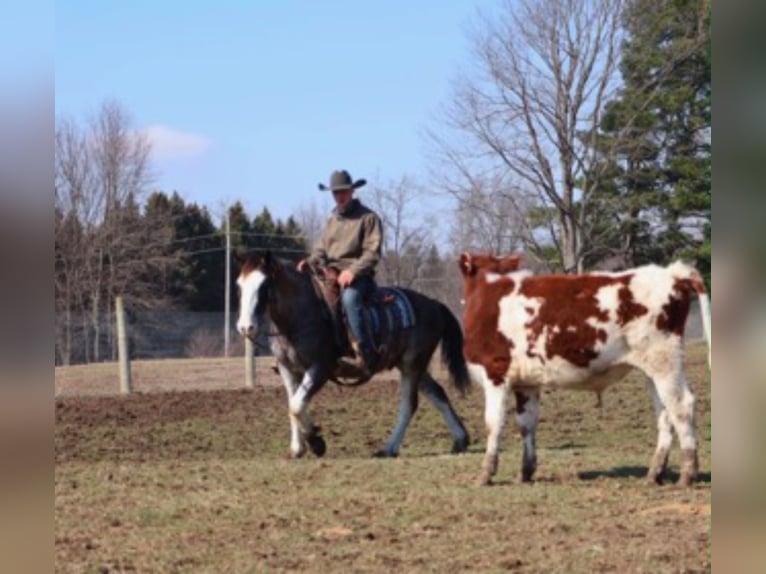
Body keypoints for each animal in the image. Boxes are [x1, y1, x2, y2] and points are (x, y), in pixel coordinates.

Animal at [235, 250, 471, 459]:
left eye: (264, 285)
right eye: (239, 285)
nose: (246, 327)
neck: (300, 314)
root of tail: (434, 304)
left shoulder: (320, 367)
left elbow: (296, 405)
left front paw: (315, 441)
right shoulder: (287, 368)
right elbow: (293, 403)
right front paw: (297, 449)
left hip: (412, 364)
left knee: (409, 404)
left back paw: (389, 448)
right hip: (413, 366)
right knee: (437, 394)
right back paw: (460, 440)